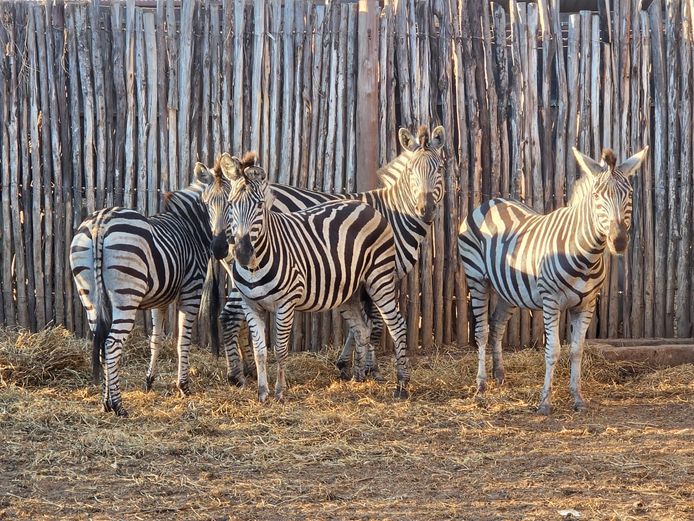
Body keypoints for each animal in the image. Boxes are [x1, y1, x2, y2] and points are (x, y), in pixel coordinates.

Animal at [70, 176, 219, 417]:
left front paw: (149, 381)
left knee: (100, 343)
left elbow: (155, 339)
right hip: (127, 296)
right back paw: (118, 406)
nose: (221, 246)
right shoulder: (191, 289)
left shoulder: (159, 299)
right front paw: (183, 386)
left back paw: (105, 403)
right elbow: (183, 339)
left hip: (89, 295)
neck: (190, 226)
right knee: (111, 344)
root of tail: (101, 222)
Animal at [207, 125, 446, 386]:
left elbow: (359, 325)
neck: (396, 215)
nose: (426, 210)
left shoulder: (356, 278)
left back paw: (247, 370)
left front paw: (348, 364)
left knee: (234, 318)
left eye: (440, 169)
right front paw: (371, 368)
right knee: (229, 316)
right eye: (412, 171)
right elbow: (374, 324)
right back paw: (237, 374)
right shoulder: (379, 275)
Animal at [458, 146, 648, 414]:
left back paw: (500, 375)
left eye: (629, 194)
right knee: (482, 331)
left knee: (496, 326)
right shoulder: (551, 301)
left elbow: (577, 350)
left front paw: (577, 398)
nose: (618, 241)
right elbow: (553, 350)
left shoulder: (587, 304)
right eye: (597, 196)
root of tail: (491, 201)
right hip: (477, 278)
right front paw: (545, 402)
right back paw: (481, 385)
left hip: (509, 289)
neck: (587, 254)